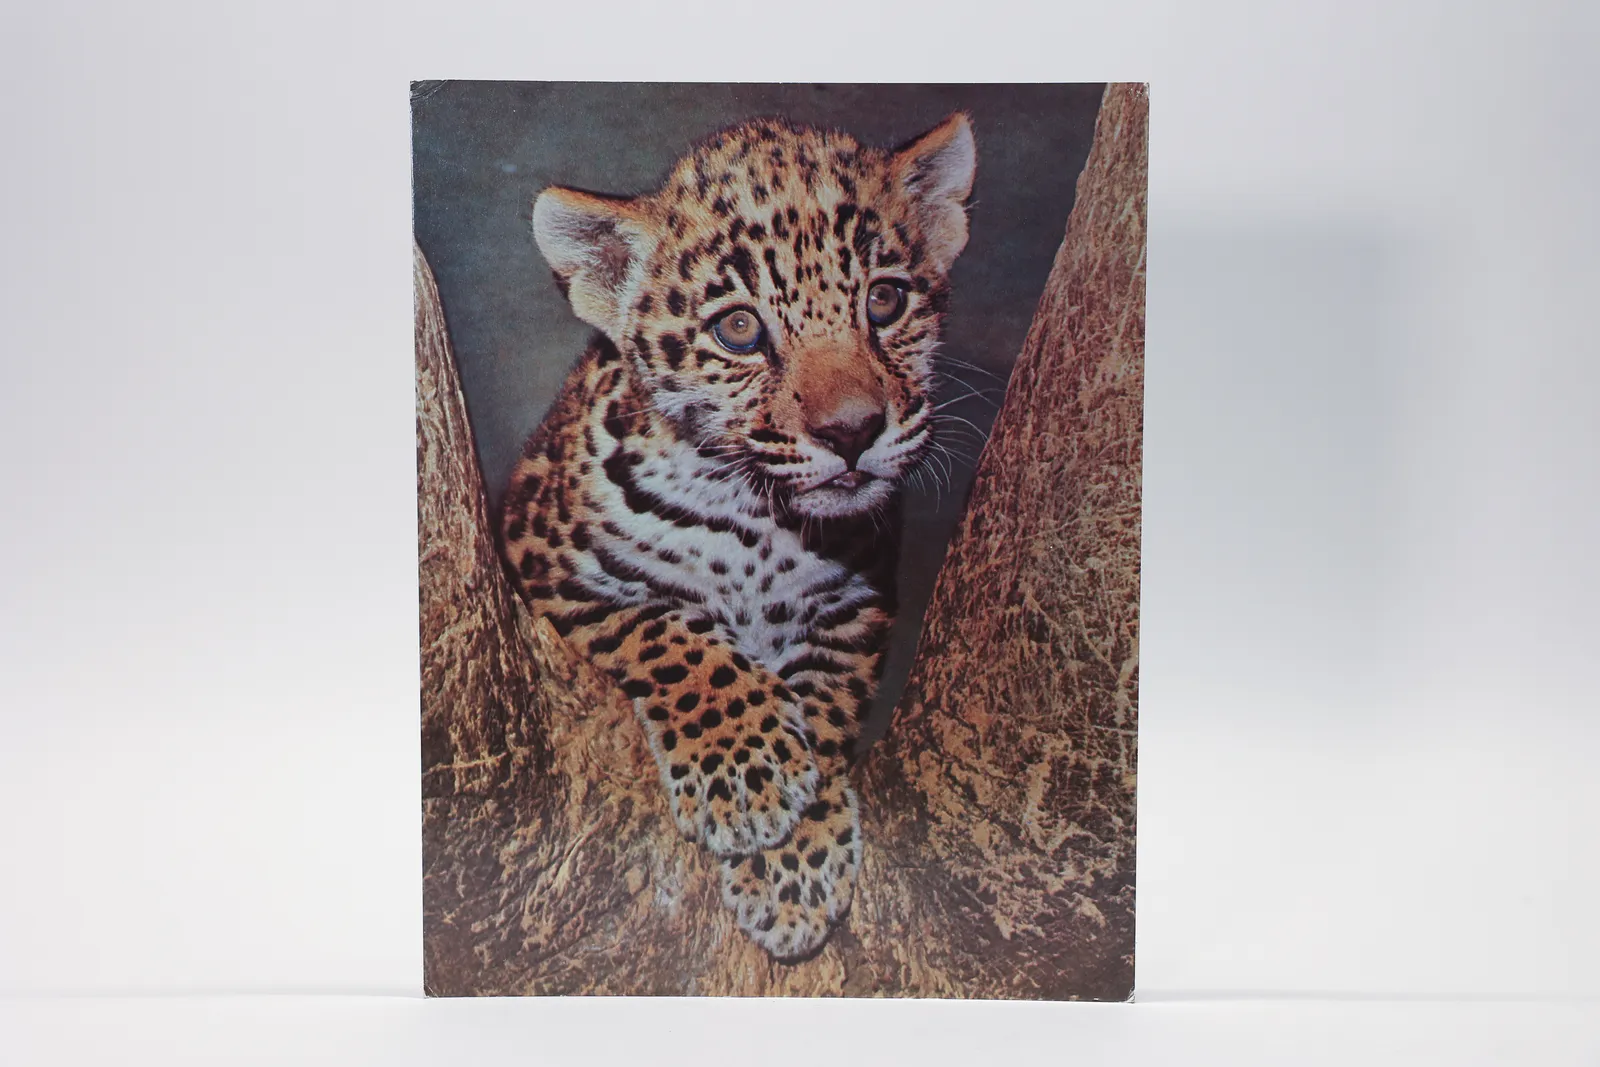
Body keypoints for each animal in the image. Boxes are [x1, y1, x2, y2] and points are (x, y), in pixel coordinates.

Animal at [500, 112, 976, 960]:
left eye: (885, 300)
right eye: (740, 329)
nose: (852, 431)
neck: (757, 520)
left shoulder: (854, 606)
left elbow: (826, 709)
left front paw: (791, 865)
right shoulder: (546, 552)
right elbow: (665, 629)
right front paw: (747, 773)